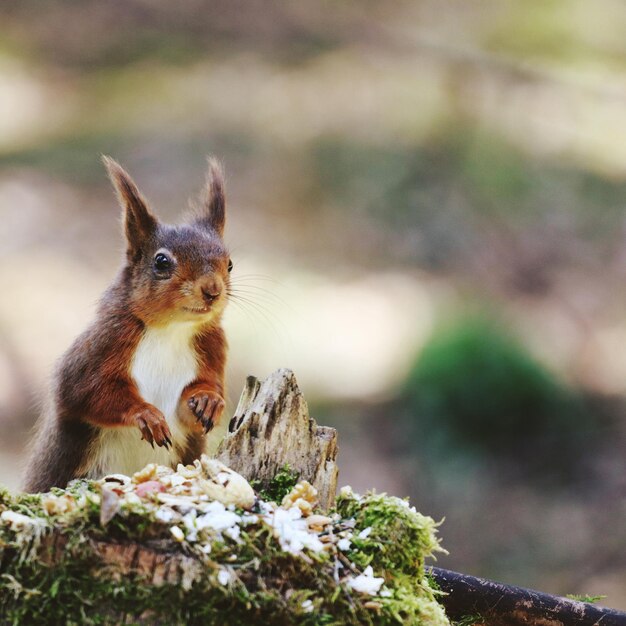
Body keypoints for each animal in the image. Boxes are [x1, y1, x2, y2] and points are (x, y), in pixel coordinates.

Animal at [22, 156, 232, 492]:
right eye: (161, 262)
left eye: (230, 264)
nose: (212, 290)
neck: (171, 331)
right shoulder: (104, 344)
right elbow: (86, 392)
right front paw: (146, 414)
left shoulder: (213, 347)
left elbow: (199, 400)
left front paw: (209, 400)